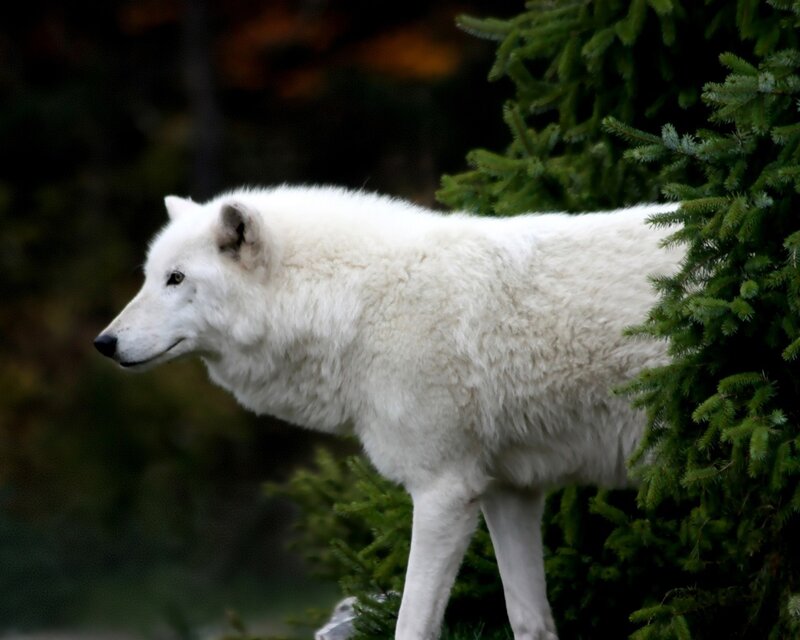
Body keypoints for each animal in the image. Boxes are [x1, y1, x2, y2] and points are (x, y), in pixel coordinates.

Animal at [95, 186, 682, 640]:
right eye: (148, 276)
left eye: (175, 279)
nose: (104, 342)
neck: (357, 304)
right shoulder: (508, 491)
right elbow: (527, 619)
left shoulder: (443, 492)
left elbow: (411, 624)